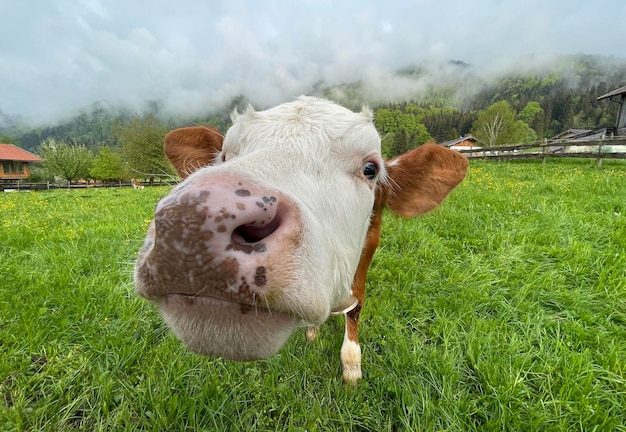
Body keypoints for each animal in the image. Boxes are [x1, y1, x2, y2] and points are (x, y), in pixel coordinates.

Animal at [133, 95, 464, 384]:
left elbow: (356, 304)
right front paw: (314, 331)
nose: (201, 215)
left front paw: (351, 363)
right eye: (224, 156)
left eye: (370, 168)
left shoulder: (371, 240)